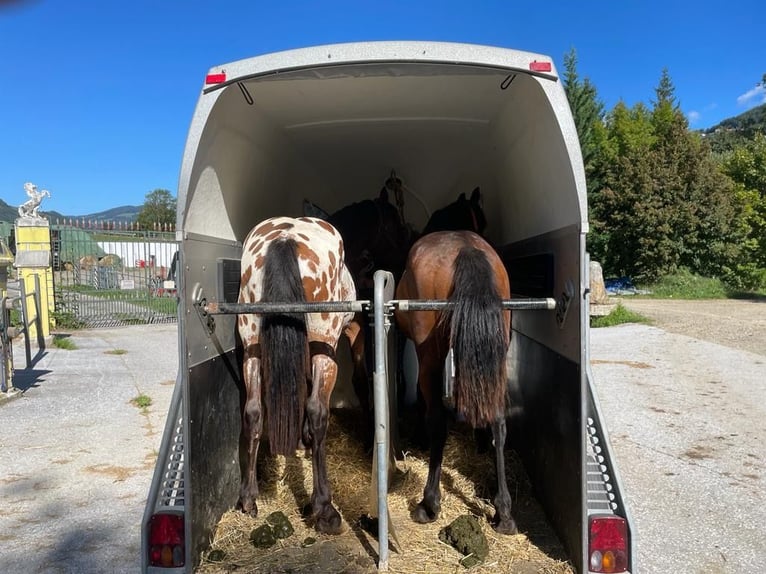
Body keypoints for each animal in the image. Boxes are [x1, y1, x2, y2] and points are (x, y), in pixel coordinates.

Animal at [238, 216, 362, 536]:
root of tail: (285, 237)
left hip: (251, 345)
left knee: (253, 411)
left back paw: (248, 498)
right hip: (325, 347)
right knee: (318, 409)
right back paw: (324, 508)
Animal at [392, 230, 520, 536]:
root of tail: (465, 247)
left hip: (431, 353)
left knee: (438, 422)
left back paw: (428, 504)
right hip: (496, 352)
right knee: (499, 422)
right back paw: (503, 512)